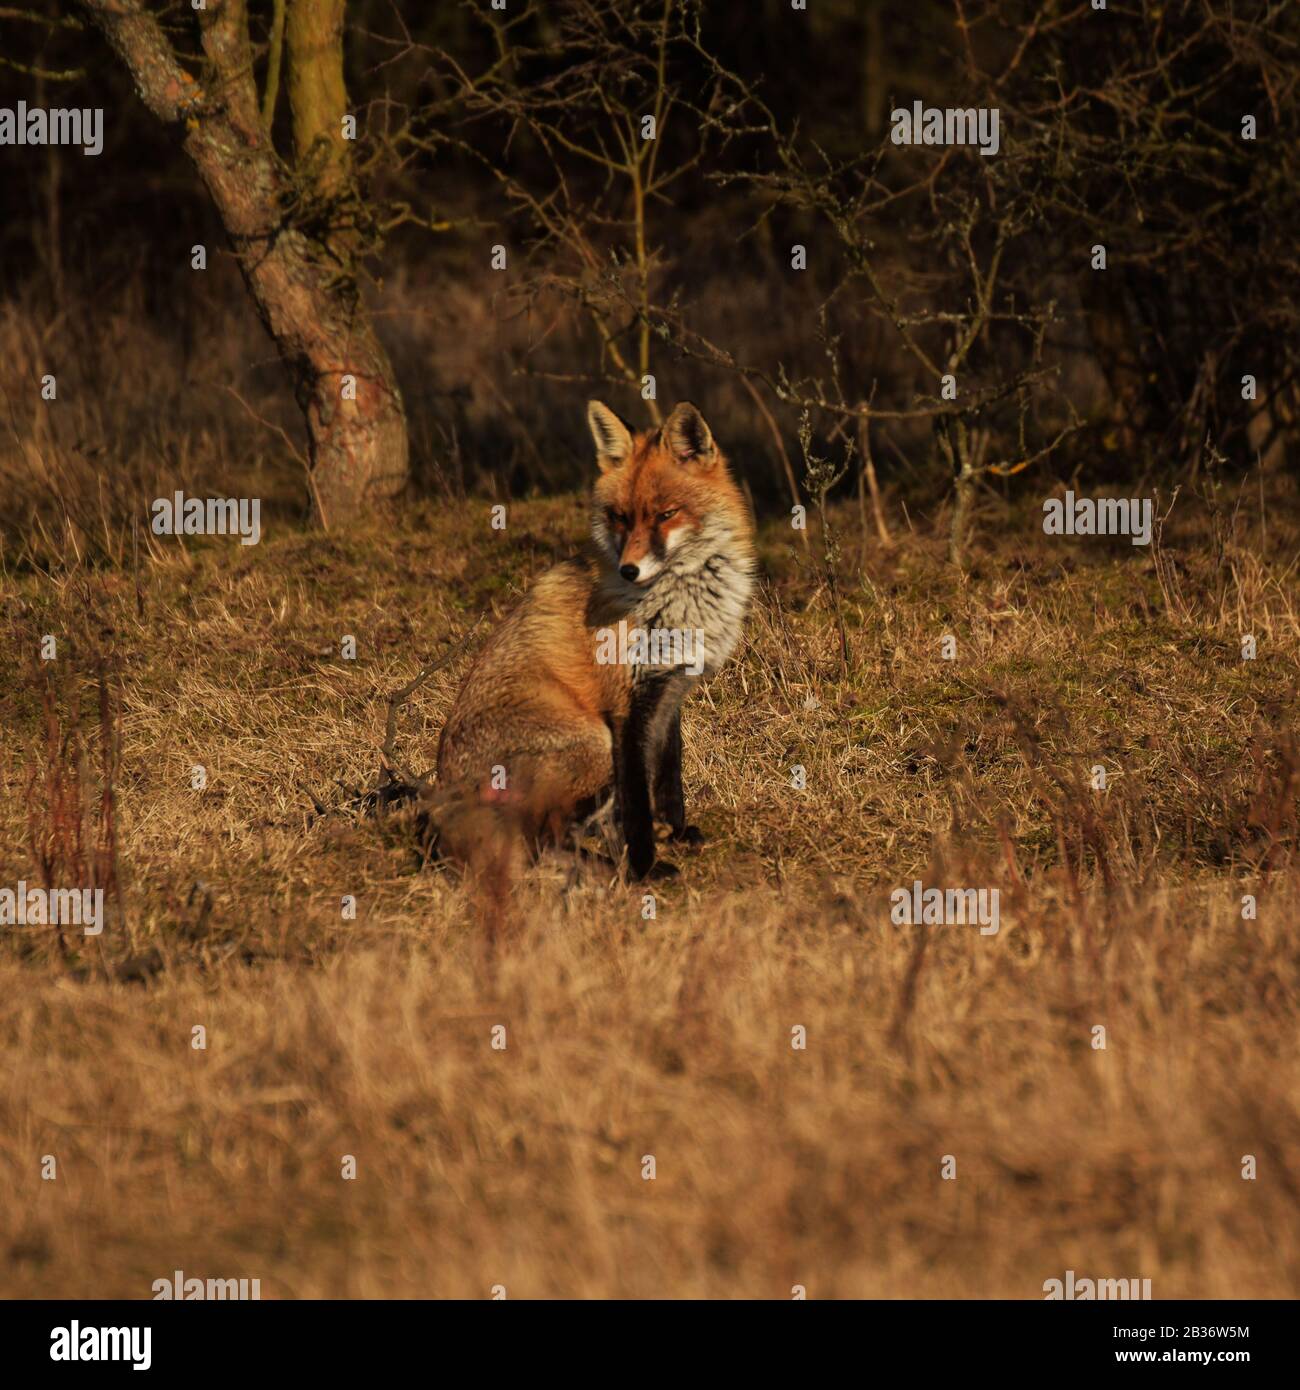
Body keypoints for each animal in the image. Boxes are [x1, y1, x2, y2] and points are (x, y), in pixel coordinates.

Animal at [435, 399, 756, 881]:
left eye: (666, 514)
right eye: (619, 516)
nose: (629, 570)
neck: (681, 603)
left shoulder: (669, 690)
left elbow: (669, 776)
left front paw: (677, 832)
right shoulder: (624, 705)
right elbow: (637, 802)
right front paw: (645, 867)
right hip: (593, 744)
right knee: (540, 838)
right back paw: (606, 869)